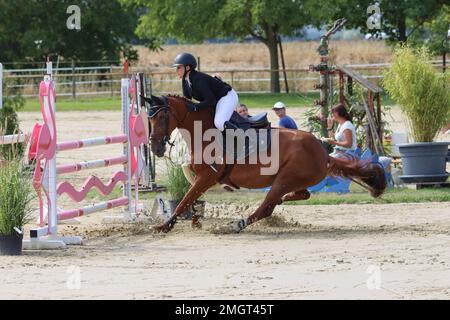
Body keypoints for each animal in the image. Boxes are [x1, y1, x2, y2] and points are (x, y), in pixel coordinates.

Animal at [145, 94, 386, 234]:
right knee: (297, 195)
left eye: (163, 116)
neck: (202, 131)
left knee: (266, 207)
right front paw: (194, 221)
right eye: (149, 118)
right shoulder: (200, 178)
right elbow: (191, 199)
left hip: (284, 179)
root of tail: (323, 153)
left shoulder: (207, 177)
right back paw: (283, 199)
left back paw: (236, 225)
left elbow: (184, 200)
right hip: (293, 179)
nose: (155, 148)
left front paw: (164, 226)